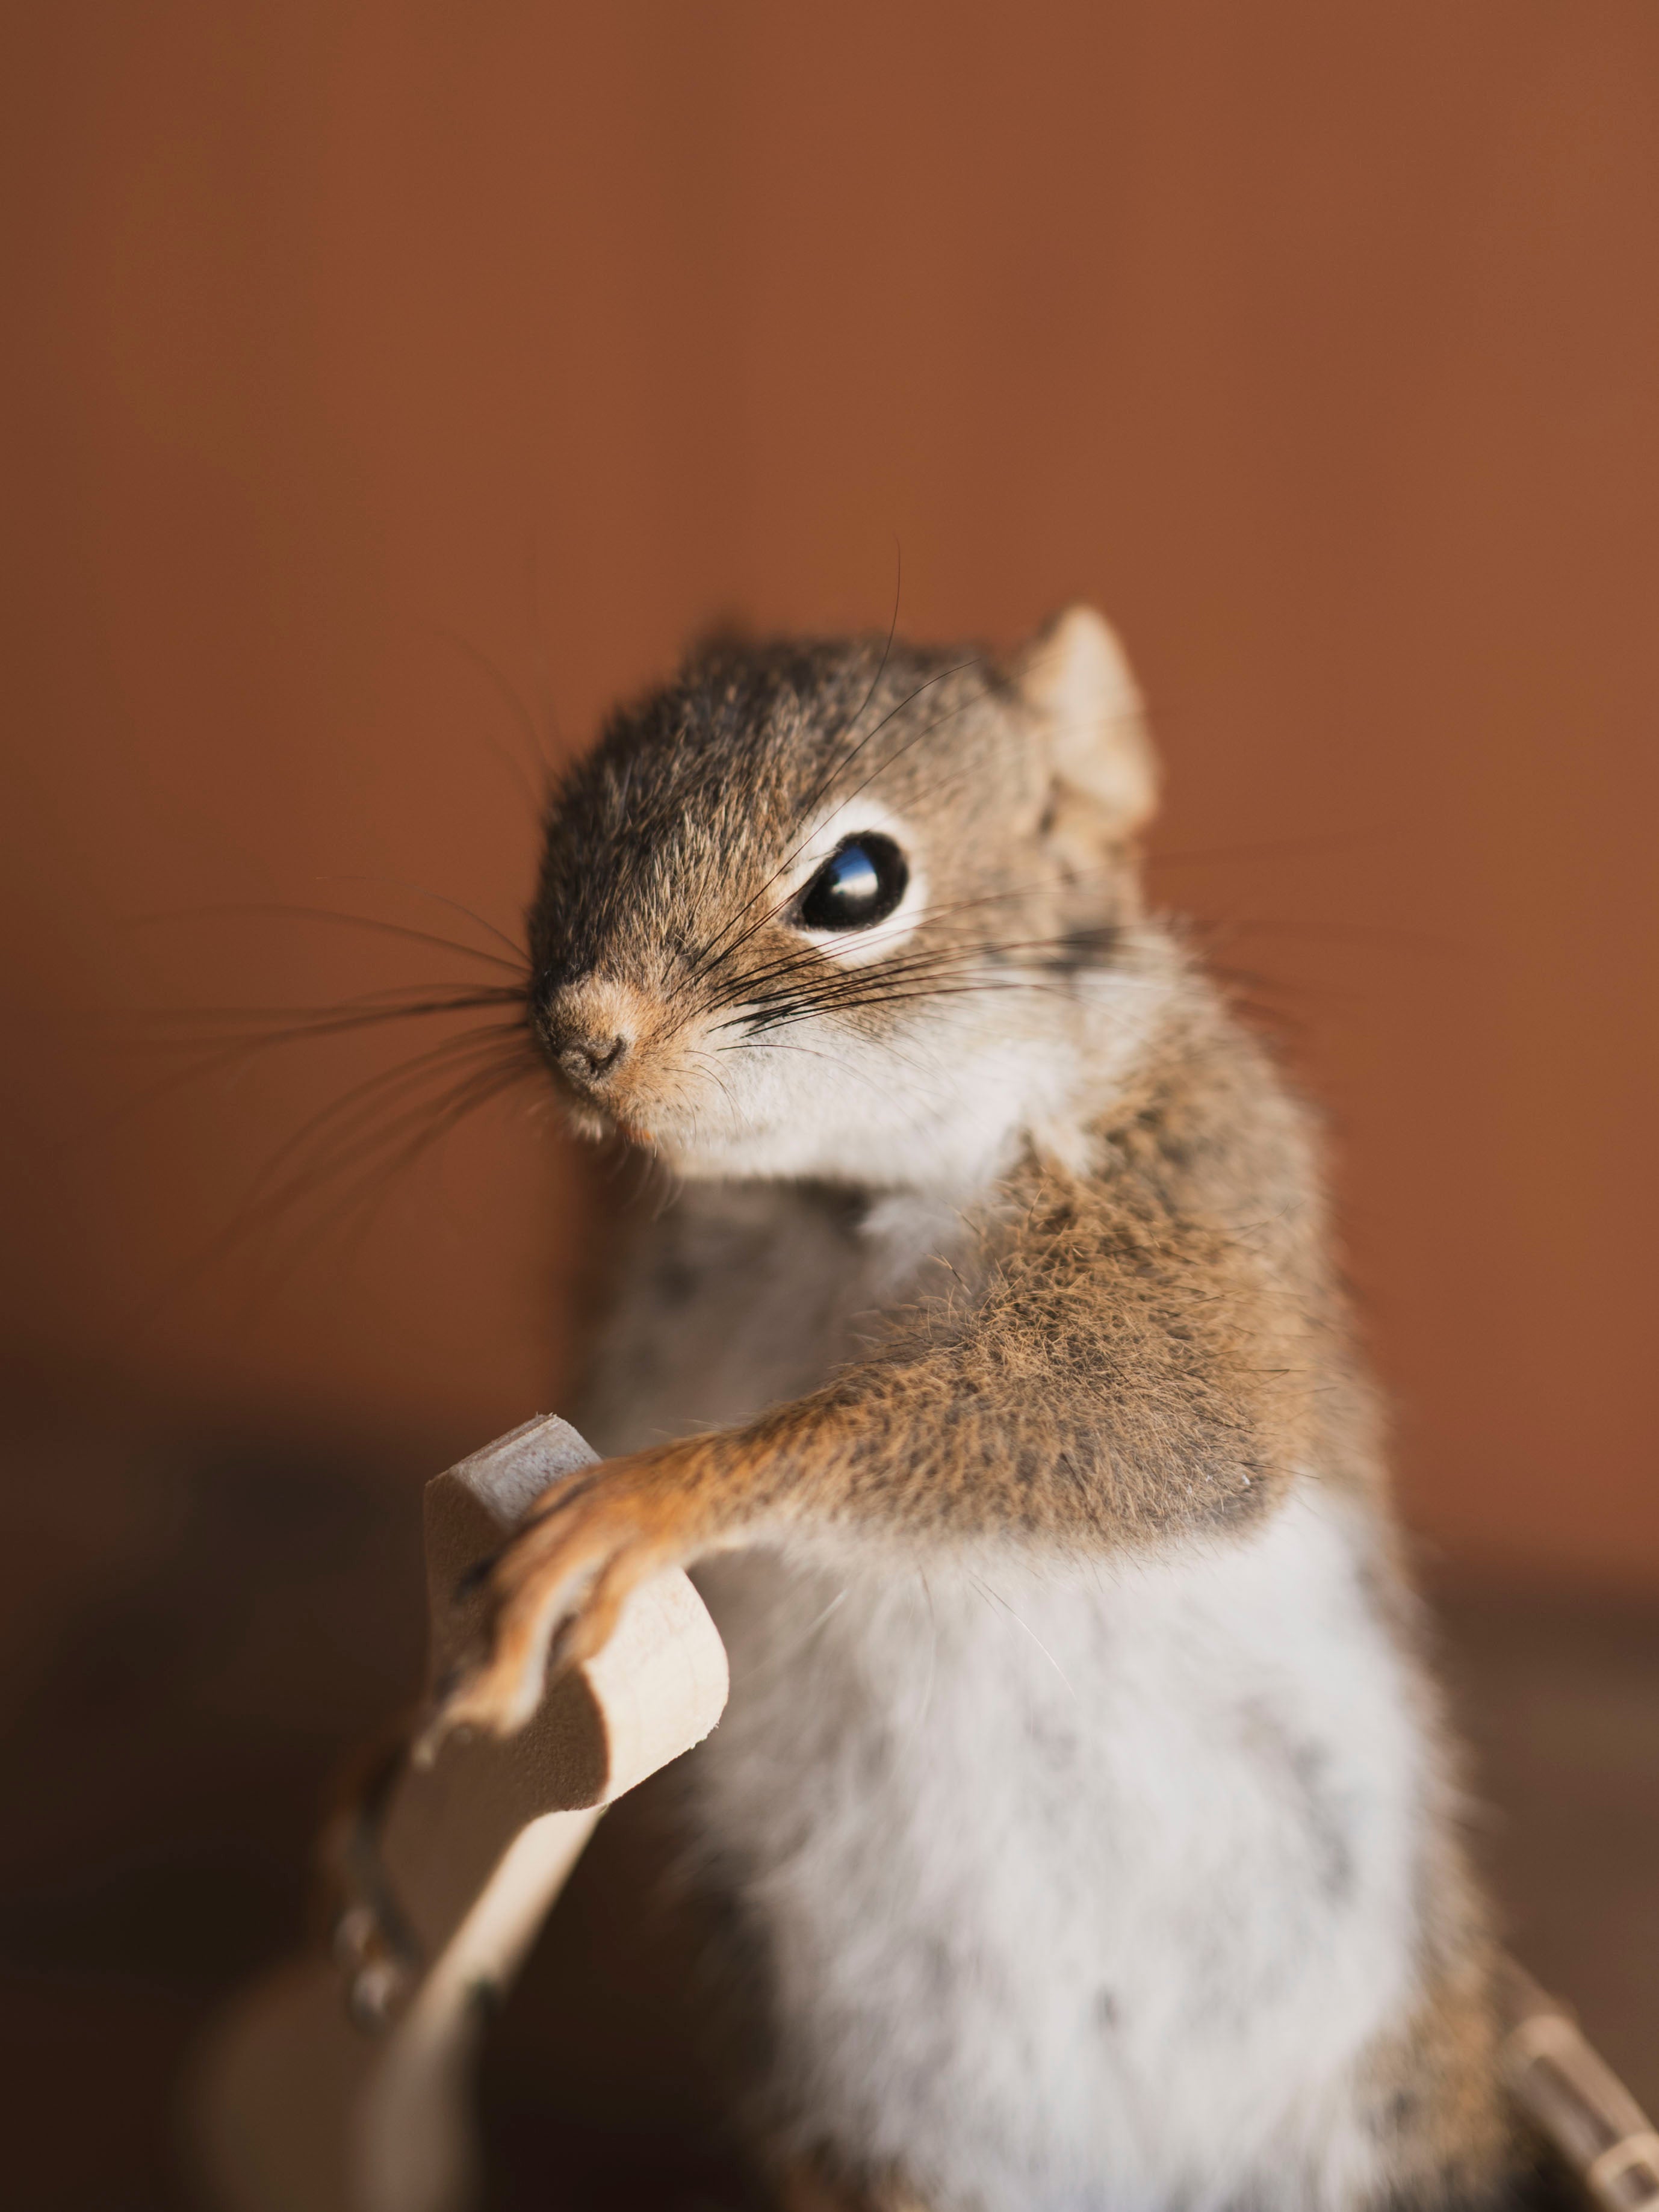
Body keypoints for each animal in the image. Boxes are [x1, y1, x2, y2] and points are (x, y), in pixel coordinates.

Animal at [430, 607, 1544, 2212]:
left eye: (857, 881)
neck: (827, 1208)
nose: (580, 1032)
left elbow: (1165, 1422)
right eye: (562, 818)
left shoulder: (1182, 1184)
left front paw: (652, 1499)